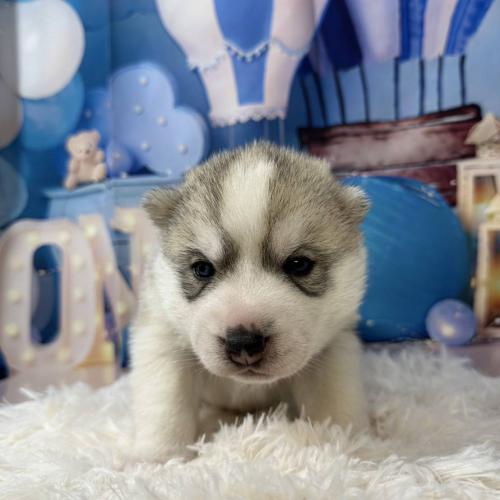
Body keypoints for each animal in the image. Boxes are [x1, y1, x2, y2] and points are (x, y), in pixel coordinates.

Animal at [130, 142, 370, 463]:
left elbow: (335, 401)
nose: (243, 342)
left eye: (299, 264)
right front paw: (157, 459)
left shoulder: (333, 347)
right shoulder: (162, 336)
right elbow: (164, 401)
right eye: (203, 269)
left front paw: (348, 447)